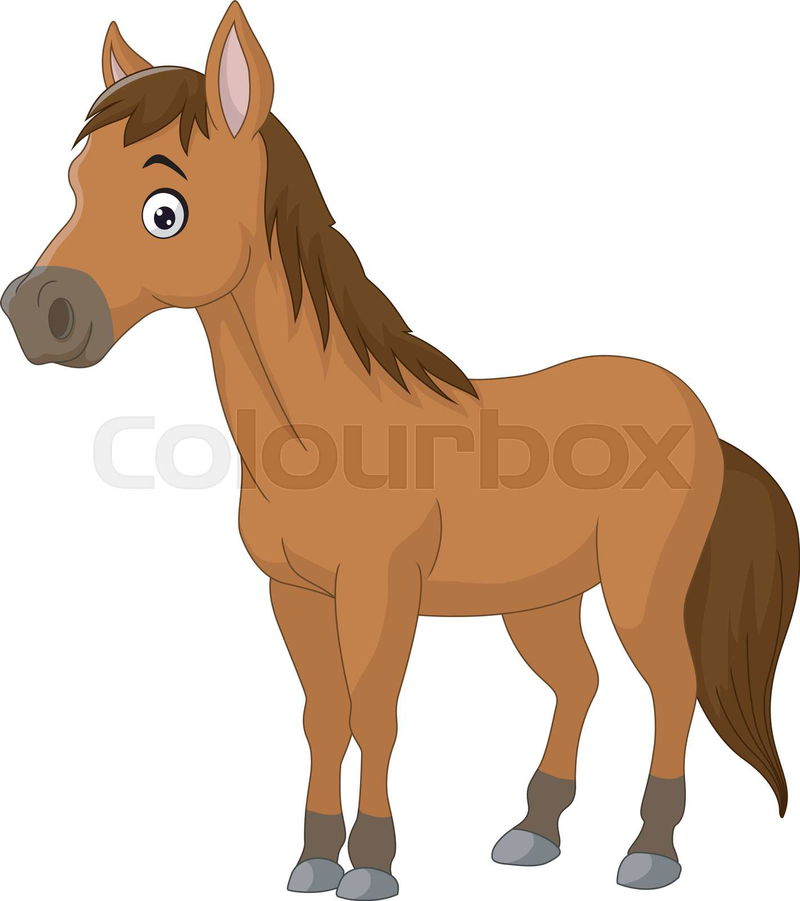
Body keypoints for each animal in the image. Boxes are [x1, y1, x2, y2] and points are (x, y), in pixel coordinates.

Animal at [2, 4, 797, 898]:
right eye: (77, 185)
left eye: (163, 209)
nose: (39, 312)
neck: (324, 435)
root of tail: (700, 417)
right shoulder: (294, 593)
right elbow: (323, 714)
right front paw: (314, 856)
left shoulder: (381, 592)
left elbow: (375, 713)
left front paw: (374, 863)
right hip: (541, 597)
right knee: (579, 682)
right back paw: (534, 830)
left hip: (640, 589)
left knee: (672, 687)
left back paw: (652, 847)